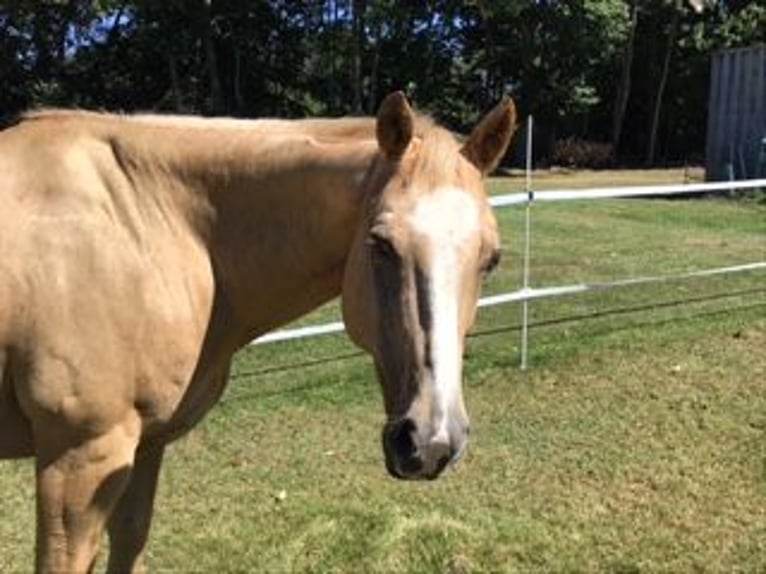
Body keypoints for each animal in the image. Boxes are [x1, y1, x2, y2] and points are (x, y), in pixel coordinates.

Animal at [0, 92, 515, 572]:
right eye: (380, 245)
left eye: (491, 258)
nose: (431, 441)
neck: (145, 224)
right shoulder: (78, 458)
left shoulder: (144, 446)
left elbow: (130, 540)